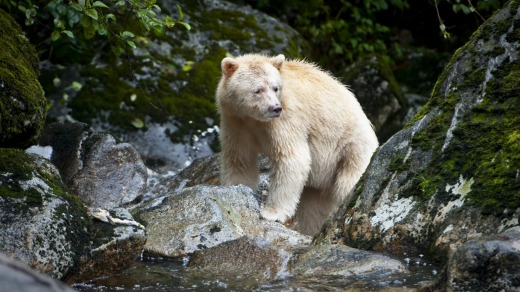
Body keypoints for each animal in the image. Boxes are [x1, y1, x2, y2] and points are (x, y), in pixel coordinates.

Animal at [215, 53, 378, 235]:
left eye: (275, 88)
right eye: (258, 89)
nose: (275, 108)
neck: (254, 119)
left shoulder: (286, 121)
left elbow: (291, 158)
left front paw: (271, 213)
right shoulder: (236, 123)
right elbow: (239, 160)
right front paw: (234, 189)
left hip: (352, 148)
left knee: (348, 183)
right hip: (320, 181)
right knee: (313, 209)